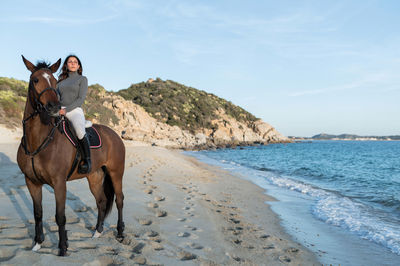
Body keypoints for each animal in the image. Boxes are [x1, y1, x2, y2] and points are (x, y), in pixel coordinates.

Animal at [17, 55, 125, 256]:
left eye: (53, 81)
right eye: (35, 80)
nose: (54, 106)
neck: (38, 140)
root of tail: (114, 134)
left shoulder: (59, 183)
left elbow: (60, 216)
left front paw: (62, 248)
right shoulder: (32, 182)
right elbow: (38, 214)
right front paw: (38, 243)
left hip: (116, 173)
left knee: (120, 200)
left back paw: (121, 233)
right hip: (94, 176)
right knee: (101, 201)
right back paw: (98, 232)